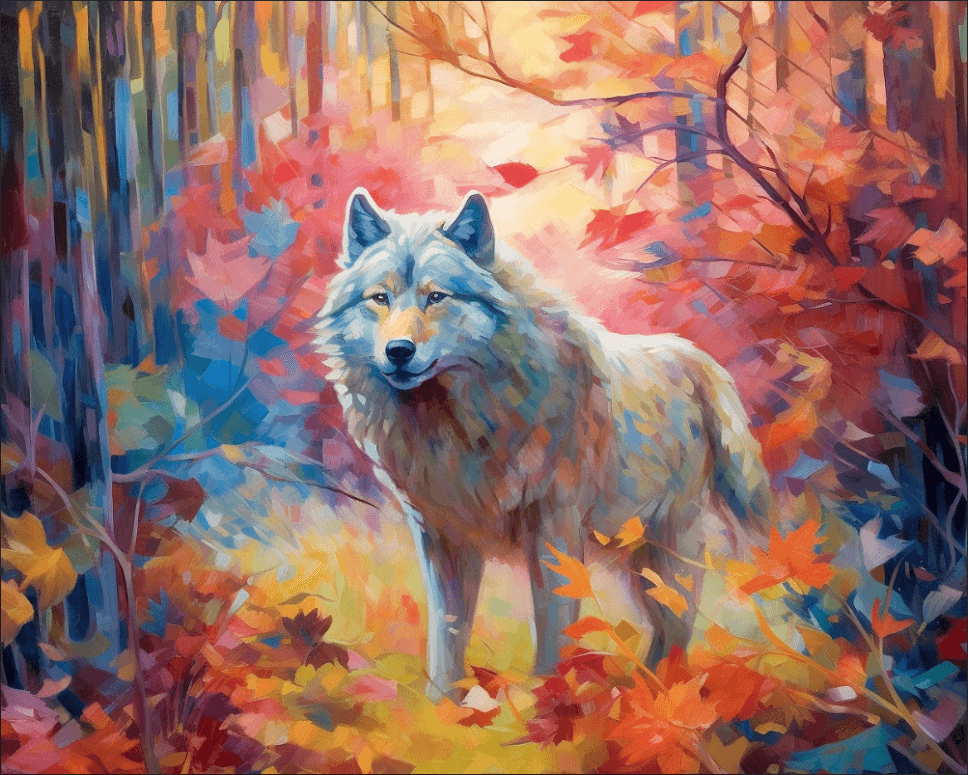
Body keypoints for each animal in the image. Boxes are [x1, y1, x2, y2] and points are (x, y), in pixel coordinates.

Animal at [314, 188, 773, 699]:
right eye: (380, 298)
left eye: (437, 296)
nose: (398, 351)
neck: (459, 425)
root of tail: (697, 360)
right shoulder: (441, 537)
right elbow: (446, 635)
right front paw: (443, 706)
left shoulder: (553, 526)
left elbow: (554, 621)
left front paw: (550, 699)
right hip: (636, 559)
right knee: (664, 628)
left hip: (666, 552)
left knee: (676, 625)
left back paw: (660, 695)